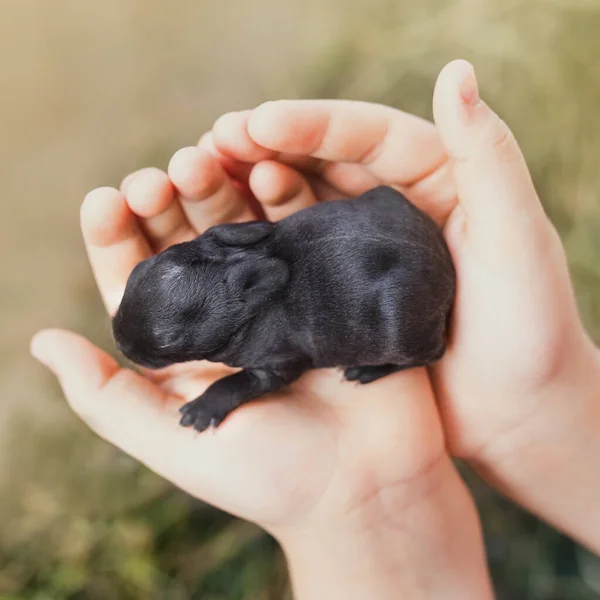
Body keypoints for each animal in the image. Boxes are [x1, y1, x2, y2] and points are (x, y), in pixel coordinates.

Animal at [112, 186, 454, 432]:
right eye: (135, 271)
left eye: (167, 343)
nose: (118, 340)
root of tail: (448, 270)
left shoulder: (278, 363)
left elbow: (235, 382)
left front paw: (200, 410)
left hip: (401, 329)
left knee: (429, 355)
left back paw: (367, 370)